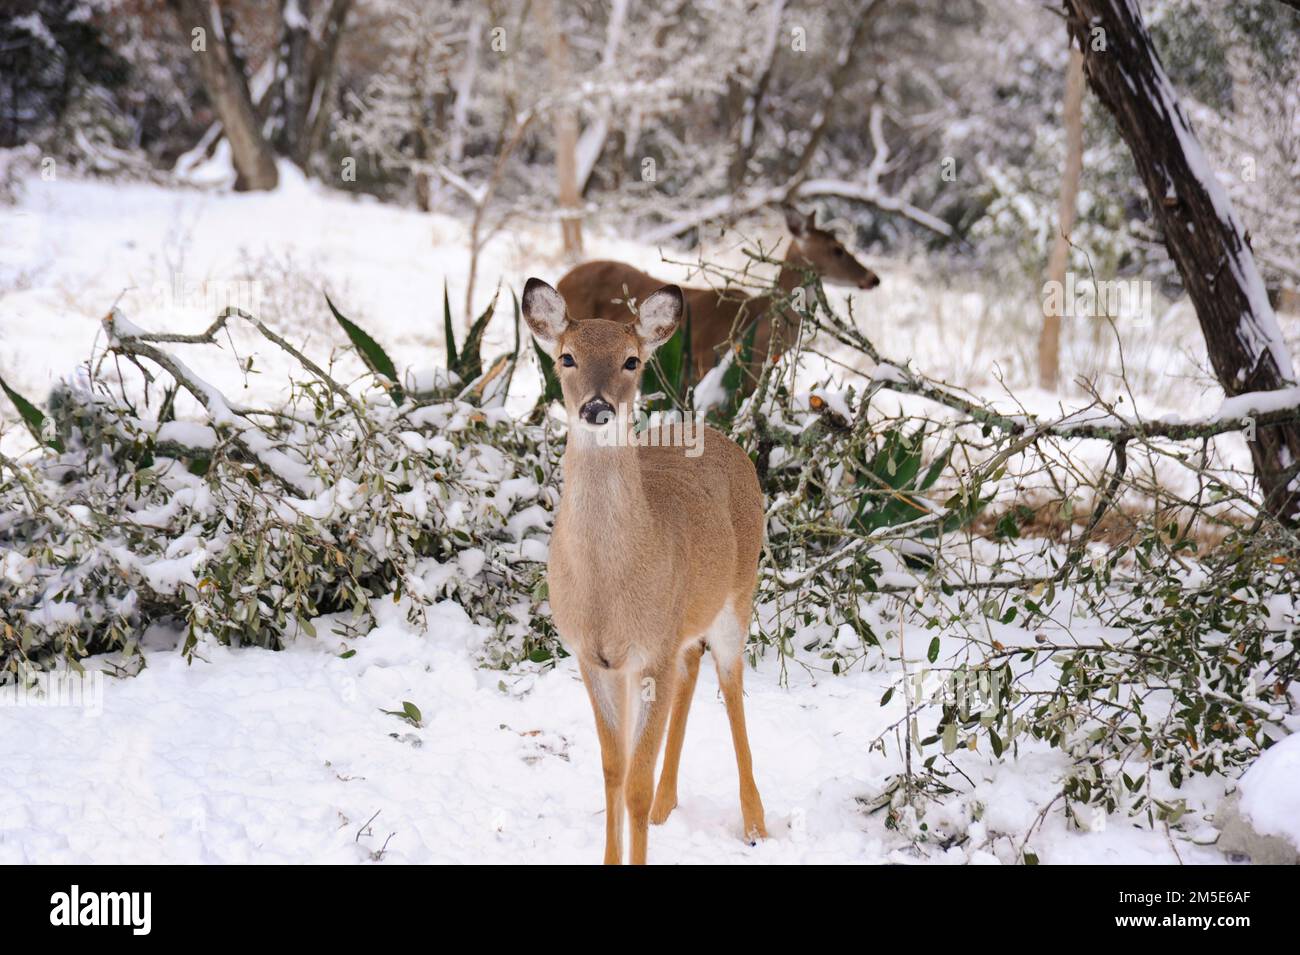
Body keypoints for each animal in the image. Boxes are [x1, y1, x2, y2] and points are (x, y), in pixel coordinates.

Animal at [522, 276, 764, 867]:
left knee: (731, 681)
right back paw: (666, 803)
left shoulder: (649, 652)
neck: (609, 587)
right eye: (566, 356)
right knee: (692, 669)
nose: (597, 406)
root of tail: (724, 439)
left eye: (632, 360)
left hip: (739, 593)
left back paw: (755, 822)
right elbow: (613, 771)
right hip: (680, 627)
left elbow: (633, 780)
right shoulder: (595, 657)